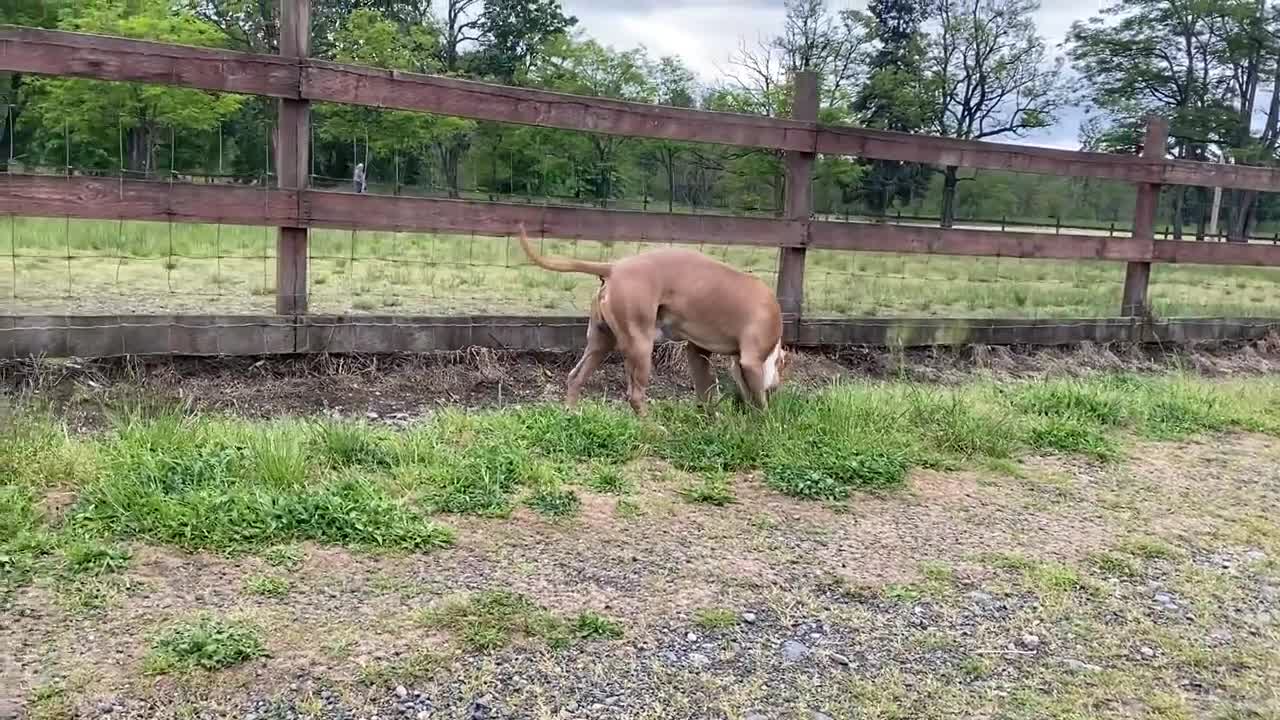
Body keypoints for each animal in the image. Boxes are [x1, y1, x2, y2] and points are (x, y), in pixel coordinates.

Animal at [514, 224, 783, 415]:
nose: (778, 384)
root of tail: (614, 267)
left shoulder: (699, 353)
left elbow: (707, 391)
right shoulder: (750, 362)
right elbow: (759, 402)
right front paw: (764, 426)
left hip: (601, 342)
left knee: (575, 377)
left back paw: (571, 415)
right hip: (641, 345)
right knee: (635, 395)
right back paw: (653, 428)